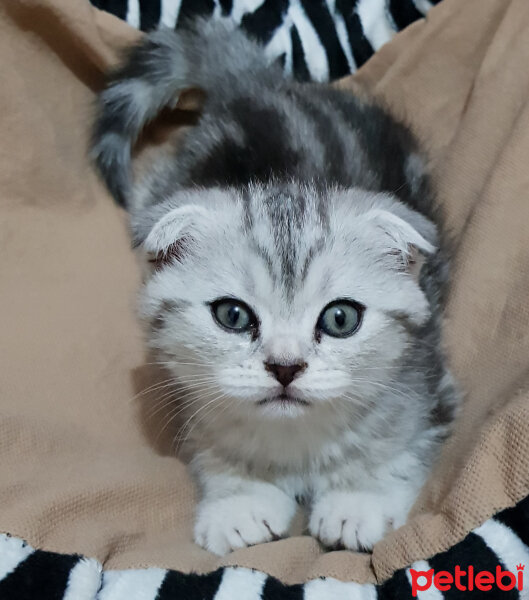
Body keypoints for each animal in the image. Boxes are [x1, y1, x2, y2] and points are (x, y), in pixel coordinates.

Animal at [92, 18, 458, 556]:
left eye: (341, 318)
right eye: (233, 315)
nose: (285, 366)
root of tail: (262, 85)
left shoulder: (429, 391)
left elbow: (399, 452)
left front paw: (357, 501)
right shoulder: (194, 405)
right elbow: (216, 453)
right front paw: (239, 502)